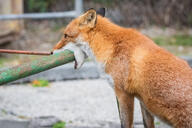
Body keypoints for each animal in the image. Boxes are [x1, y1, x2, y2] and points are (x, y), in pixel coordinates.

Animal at [51, 8, 192, 128]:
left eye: (66, 36)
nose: (51, 52)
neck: (112, 46)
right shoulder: (142, 100)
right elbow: (147, 124)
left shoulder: (123, 94)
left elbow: (125, 124)